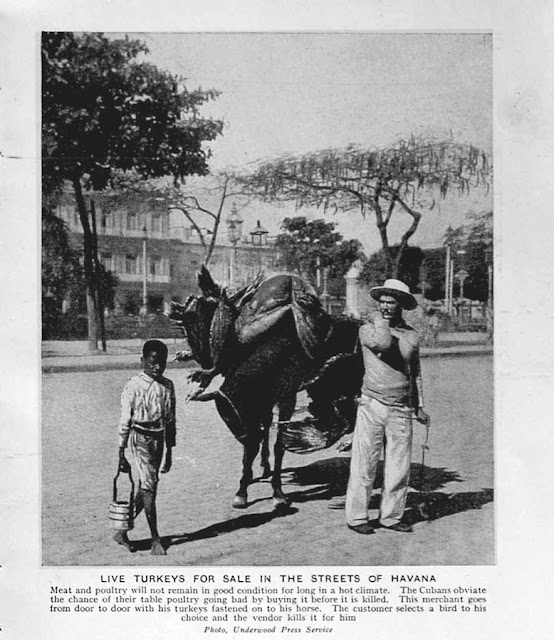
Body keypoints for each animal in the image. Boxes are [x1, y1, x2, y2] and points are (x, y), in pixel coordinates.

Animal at [169, 268, 362, 510]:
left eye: (228, 416)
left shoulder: (284, 397)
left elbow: (278, 443)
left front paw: (276, 491)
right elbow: (257, 442)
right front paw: (244, 487)